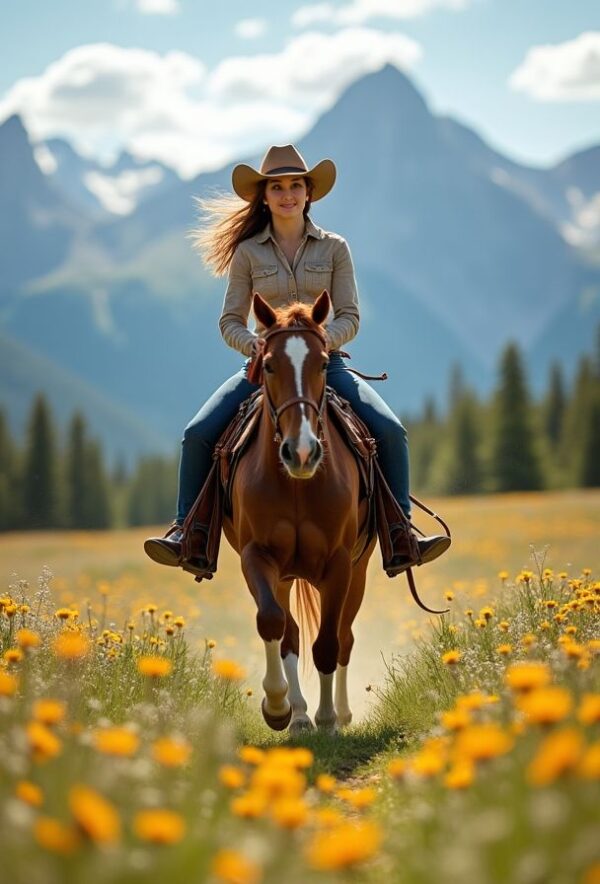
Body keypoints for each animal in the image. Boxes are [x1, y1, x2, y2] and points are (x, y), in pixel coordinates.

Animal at [223, 290, 376, 732]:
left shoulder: (340, 564)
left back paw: (339, 713)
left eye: (323, 363)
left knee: (345, 637)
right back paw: (299, 715)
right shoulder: (257, 556)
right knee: (289, 632)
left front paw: (329, 719)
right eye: (269, 364)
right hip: (285, 575)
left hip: (359, 570)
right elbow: (272, 623)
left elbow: (327, 643)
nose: (303, 452)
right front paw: (278, 708)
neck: (296, 485)